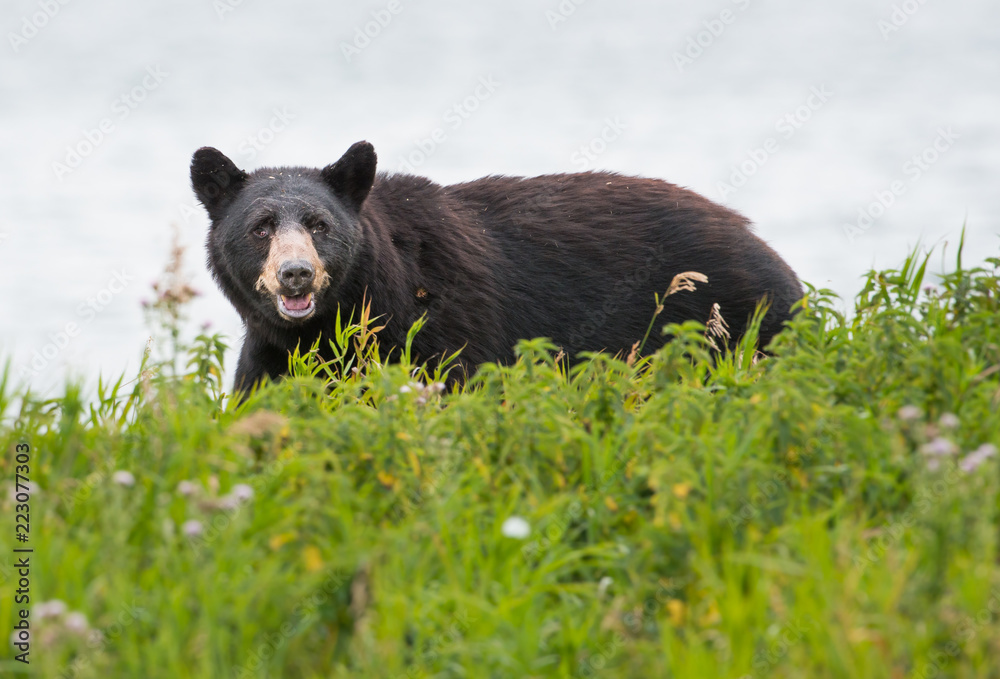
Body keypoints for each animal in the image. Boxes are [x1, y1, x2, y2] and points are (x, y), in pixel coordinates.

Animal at [190, 141, 803, 394]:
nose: (296, 273)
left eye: (319, 225)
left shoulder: (442, 329)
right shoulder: (273, 354)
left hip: (729, 321)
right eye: (261, 227)